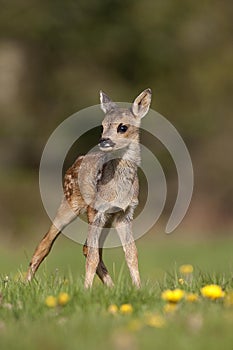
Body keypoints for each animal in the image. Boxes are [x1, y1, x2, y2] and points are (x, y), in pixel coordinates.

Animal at [26, 89, 152, 288]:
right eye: (102, 126)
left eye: (122, 127)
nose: (103, 140)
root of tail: (76, 161)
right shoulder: (96, 210)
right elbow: (93, 257)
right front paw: (86, 290)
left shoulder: (125, 213)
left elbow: (132, 253)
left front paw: (138, 288)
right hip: (70, 203)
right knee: (46, 243)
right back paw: (25, 283)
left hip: (106, 219)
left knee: (88, 248)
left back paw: (111, 287)